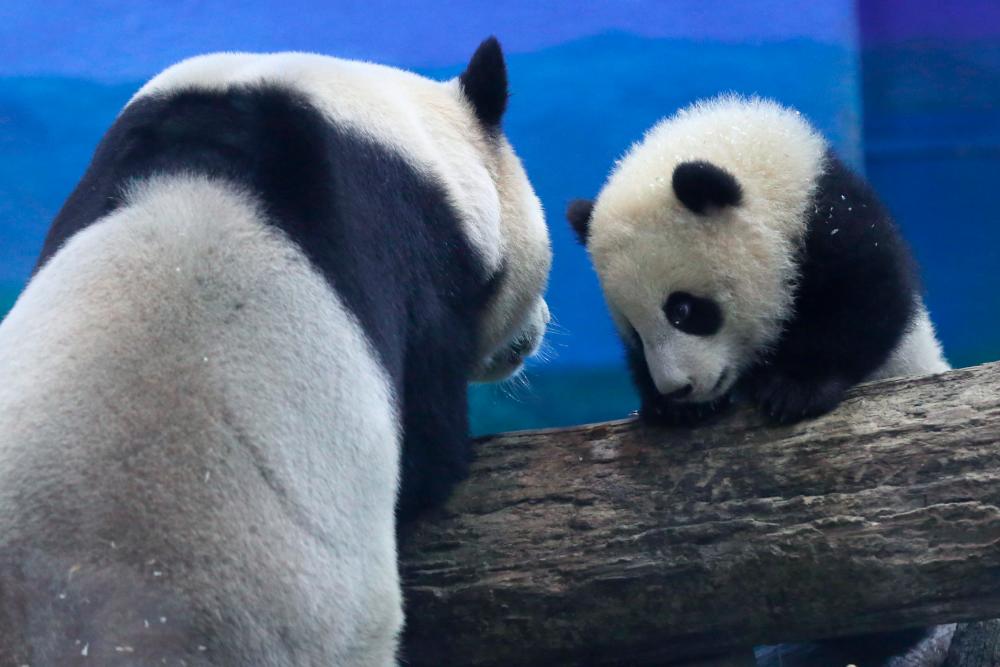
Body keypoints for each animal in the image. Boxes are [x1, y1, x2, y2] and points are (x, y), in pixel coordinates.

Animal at [572, 95, 952, 667]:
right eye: (634, 333)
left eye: (684, 310)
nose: (678, 388)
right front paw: (673, 410)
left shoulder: (831, 222)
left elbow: (869, 305)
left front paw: (791, 389)